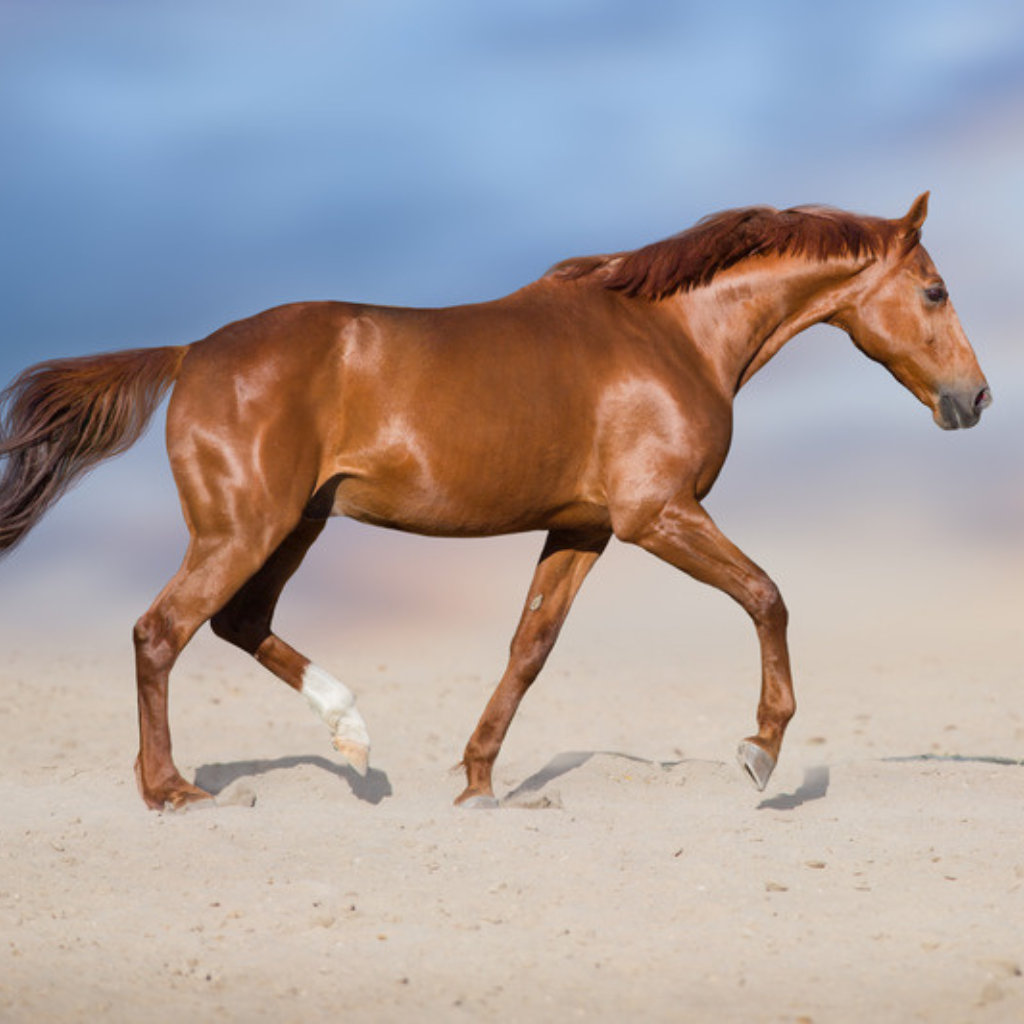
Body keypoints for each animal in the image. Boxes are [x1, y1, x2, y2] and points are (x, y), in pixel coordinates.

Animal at [0, 193, 990, 811]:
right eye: (935, 290)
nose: (975, 400)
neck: (674, 335)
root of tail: (190, 353)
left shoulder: (583, 529)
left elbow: (530, 648)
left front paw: (477, 784)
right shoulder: (657, 516)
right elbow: (768, 596)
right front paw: (761, 751)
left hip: (294, 526)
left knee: (236, 623)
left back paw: (353, 738)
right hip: (244, 527)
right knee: (161, 632)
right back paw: (174, 790)